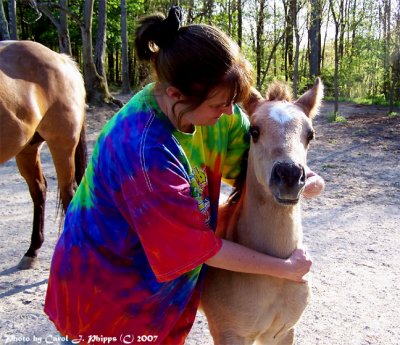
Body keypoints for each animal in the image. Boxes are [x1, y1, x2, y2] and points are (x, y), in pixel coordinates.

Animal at [0, 41, 86, 268]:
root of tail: (63, 59)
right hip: (27, 148)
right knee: (39, 190)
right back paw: (32, 250)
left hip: (62, 145)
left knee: (68, 193)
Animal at [202, 78, 324, 344]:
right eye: (254, 131)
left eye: (310, 134)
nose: (289, 175)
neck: (276, 273)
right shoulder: (229, 334)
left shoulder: (282, 333)